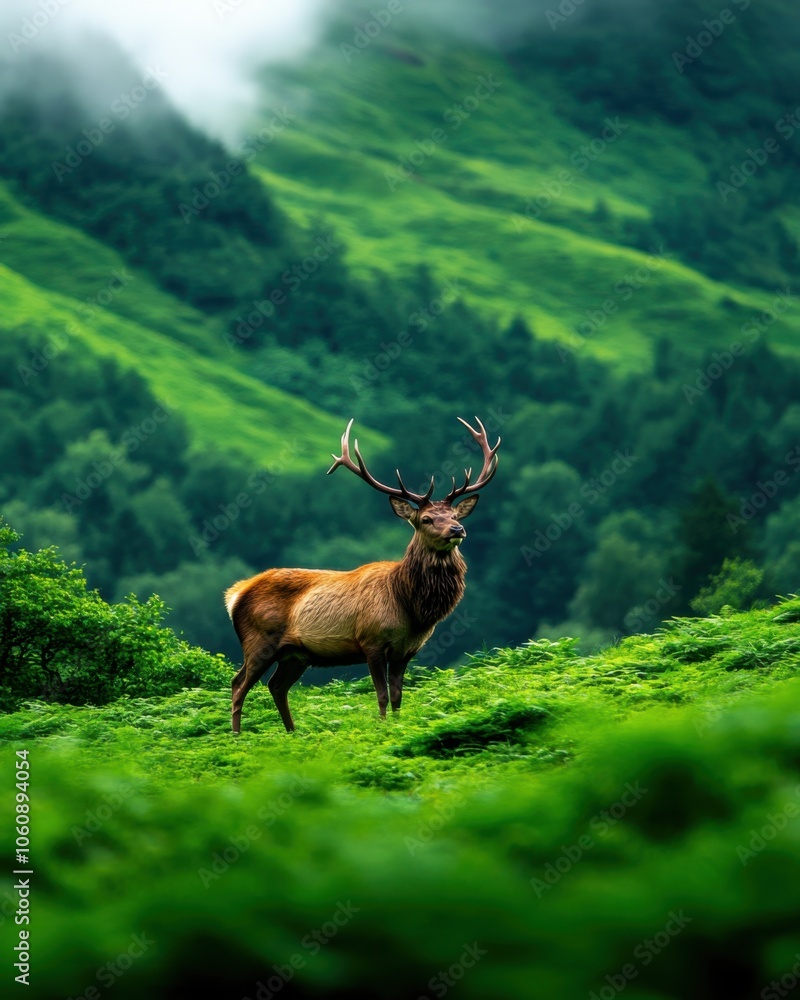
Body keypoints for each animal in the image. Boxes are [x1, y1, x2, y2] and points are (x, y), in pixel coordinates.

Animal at [225, 416, 500, 734]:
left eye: (455, 516)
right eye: (426, 519)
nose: (457, 529)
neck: (411, 608)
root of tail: (235, 593)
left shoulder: (406, 650)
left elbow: (398, 696)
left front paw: (397, 726)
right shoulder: (371, 642)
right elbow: (381, 694)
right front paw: (382, 728)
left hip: (295, 654)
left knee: (276, 686)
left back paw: (292, 733)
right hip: (258, 640)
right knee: (238, 684)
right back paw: (236, 735)